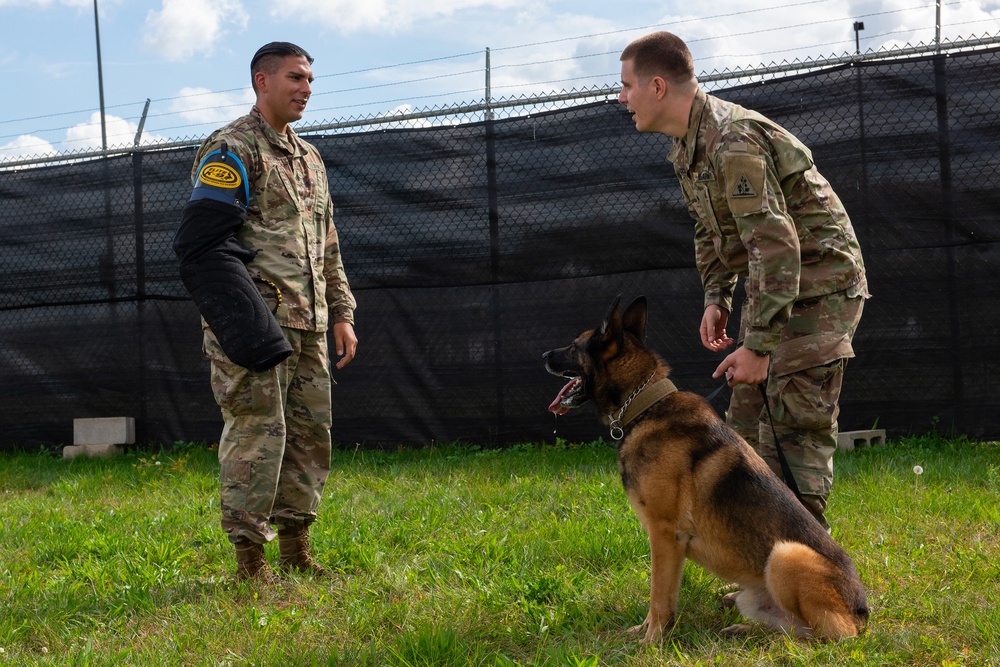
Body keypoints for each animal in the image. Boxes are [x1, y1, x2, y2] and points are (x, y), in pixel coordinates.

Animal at [540, 296, 868, 640]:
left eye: (574, 345)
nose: (544, 356)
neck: (645, 404)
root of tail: (862, 612)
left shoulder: (665, 535)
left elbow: (659, 596)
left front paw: (652, 640)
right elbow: (661, 595)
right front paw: (643, 631)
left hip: (787, 554)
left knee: (823, 637)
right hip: (757, 594)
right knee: (790, 629)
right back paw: (744, 629)